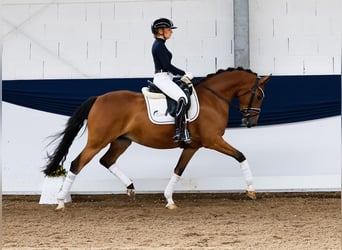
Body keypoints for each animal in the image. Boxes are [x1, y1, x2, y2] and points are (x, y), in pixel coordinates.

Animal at [43, 67, 272, 211]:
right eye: (260, 96)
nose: (250, 122)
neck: (212, 98)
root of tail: (98, 98)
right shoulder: (212, 140)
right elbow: (241, 156)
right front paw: (251, 190)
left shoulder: (193, 146)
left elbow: (178, 170)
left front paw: (169, 200)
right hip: (98, 141)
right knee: (77, 163)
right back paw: (60, 202)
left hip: (122, 140)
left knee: (106, 160)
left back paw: (131, 188)